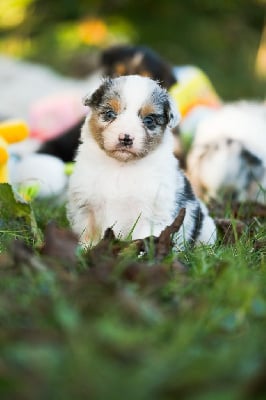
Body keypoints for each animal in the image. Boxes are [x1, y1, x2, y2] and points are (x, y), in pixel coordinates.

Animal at [67, 75, 216, 250]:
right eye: (110, 114)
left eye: (149, 120)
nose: (125, 138)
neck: (121, 167)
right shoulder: (86, 206)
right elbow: (89, 234)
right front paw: (85, 251)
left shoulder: (151, 214)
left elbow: (144, 239)